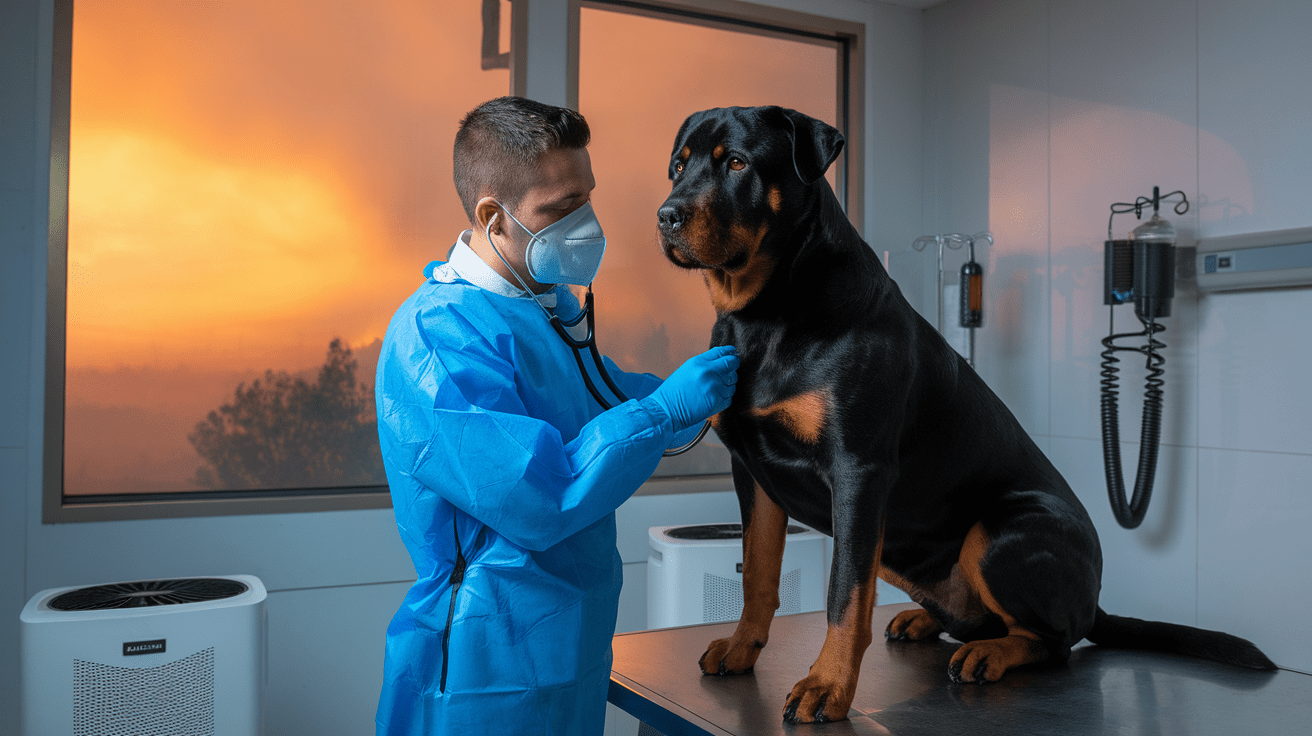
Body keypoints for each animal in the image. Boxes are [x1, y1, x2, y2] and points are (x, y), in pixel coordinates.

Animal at [656, 106, 1270, 724]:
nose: (666, 216)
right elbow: (758, 570)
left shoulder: (858, 470)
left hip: (999, 532)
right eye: (679, 166)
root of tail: (1095, 600)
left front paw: (827, 685)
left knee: (1055, 640)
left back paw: (990, 654)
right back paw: (925, 620)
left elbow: (843, 594)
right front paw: (742, 647)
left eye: (737, 162)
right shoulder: (753, 472)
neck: (766, 312)